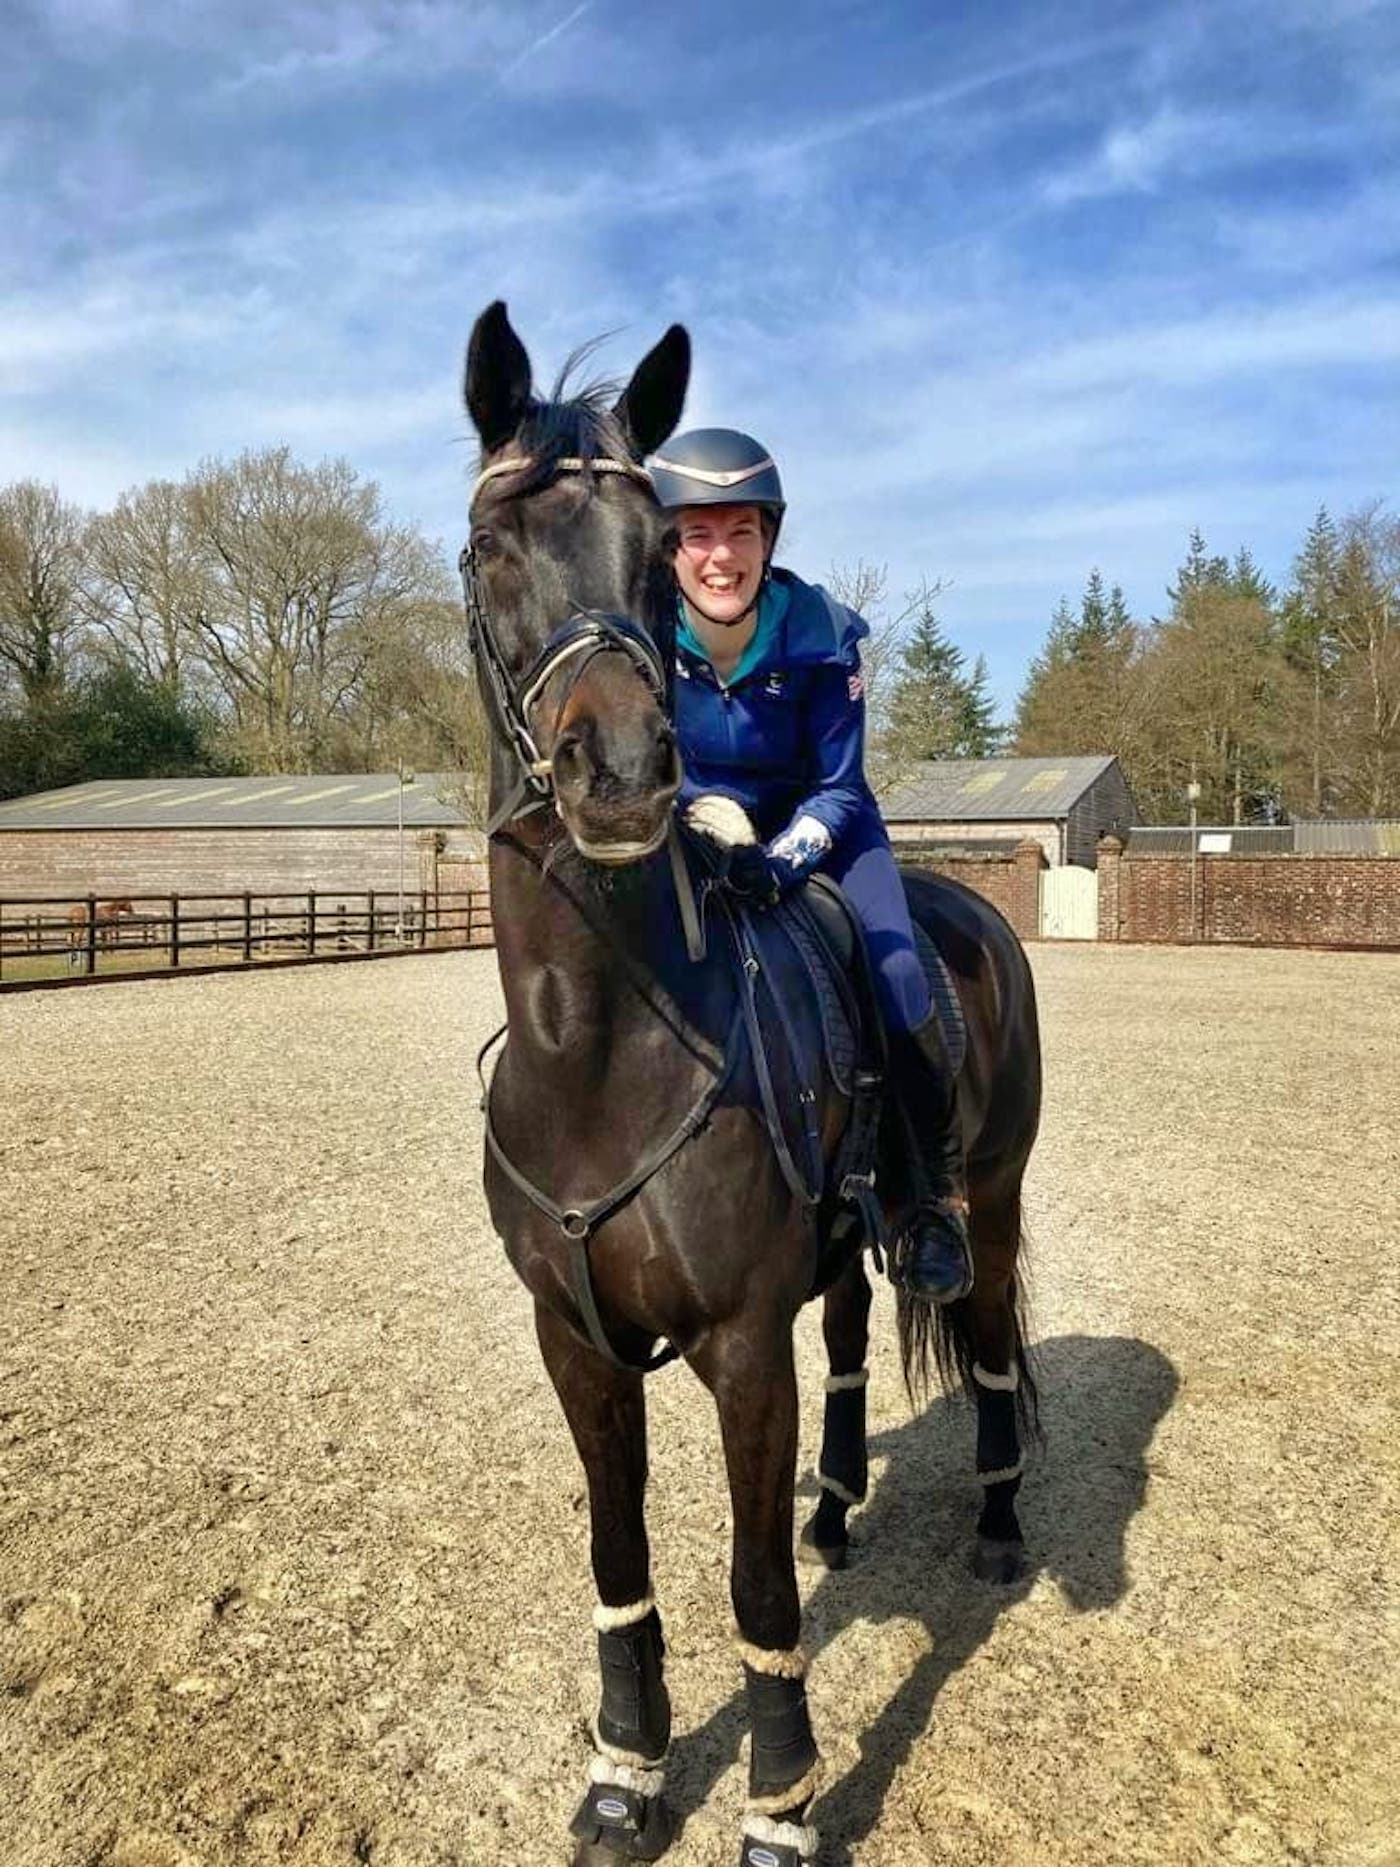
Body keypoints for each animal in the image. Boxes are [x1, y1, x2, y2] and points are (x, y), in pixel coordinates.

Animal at [460, 300, 1042, 1867]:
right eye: (491, 546)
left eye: (660, 552)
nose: (618, 772)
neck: (601, 1050)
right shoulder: (573, 1341)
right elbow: (621, 1561)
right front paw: (627, 1772)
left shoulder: (734, 1345)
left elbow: (757, 1590)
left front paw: (778, 1802)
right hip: (841, 1247)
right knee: (845, 1336)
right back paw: (839, 1502)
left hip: (990, 1201)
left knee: (991, 1335)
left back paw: (998, 1524)